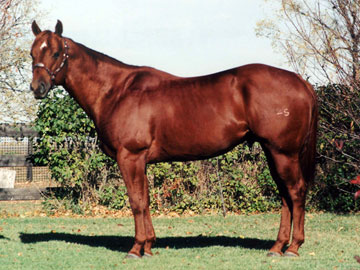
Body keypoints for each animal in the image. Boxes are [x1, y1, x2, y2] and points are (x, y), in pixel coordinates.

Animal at [31, 20, 318, 258]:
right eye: (32, 53)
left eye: (55, 53)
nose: (37, 88)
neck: (117, 91)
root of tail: (299, 80)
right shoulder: (140, 161)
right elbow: (145, 200)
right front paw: (148, 246)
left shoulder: (130, 157)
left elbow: (136, 202)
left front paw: (135, 249)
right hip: (273, 153)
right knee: (285, 195)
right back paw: (277, 247)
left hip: (283, 153)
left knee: (295, 192)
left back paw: (293, 247)